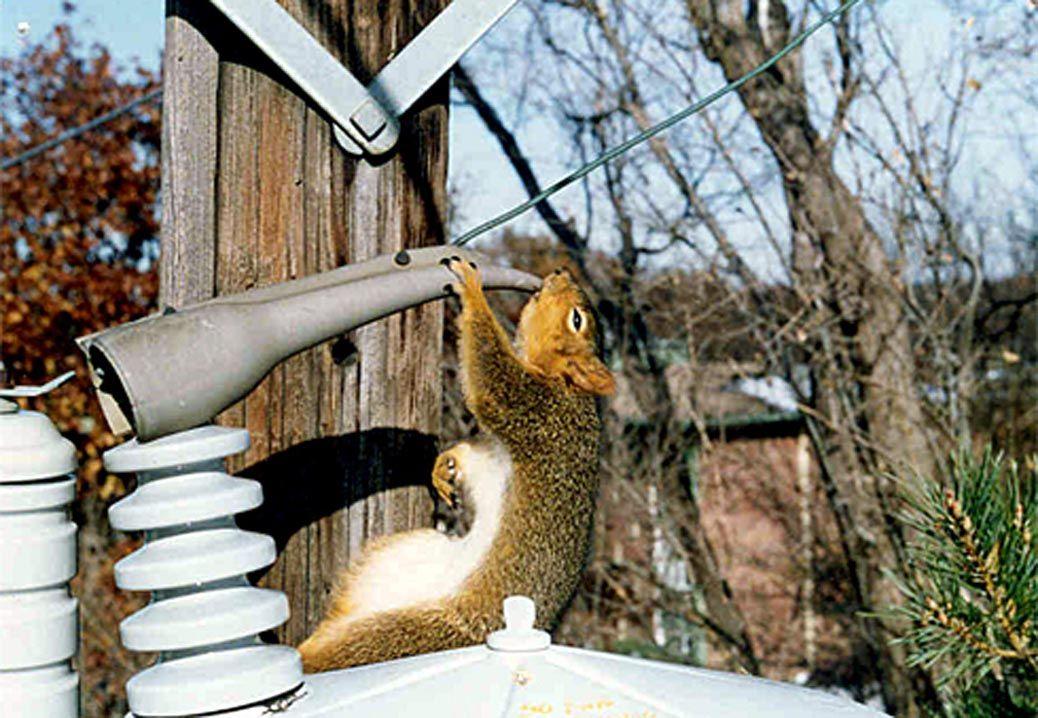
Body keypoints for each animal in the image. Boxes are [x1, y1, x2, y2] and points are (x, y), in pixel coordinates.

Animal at [297, 258, 615, 672]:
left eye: (576, 320)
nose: (561, 273)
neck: (562, 385)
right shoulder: (494, 448)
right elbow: (469, 458)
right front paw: (444, 467)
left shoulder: (536, 412)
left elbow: (491, 376)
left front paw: (473, 290)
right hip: (394, 559)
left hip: (411, 632)